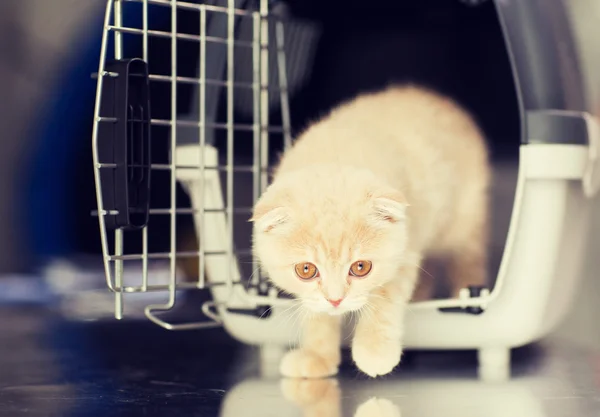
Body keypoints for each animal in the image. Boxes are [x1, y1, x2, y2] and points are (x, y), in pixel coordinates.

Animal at [248, 84, 488, 376]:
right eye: (305, 270)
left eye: (361, 267)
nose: (336, 300)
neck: (334, 154)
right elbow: (316, 313)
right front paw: (317, 357)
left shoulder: (405, 251)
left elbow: (384, 297)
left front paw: (374, 352)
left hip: (465, 221)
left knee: (468, 263)